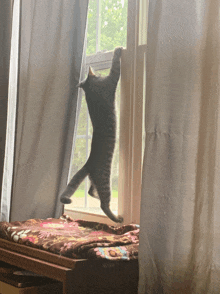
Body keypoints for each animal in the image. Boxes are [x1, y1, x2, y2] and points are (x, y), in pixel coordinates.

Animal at [60, 46, 124, 223]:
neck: (91, 90)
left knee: (90, 191)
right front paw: (118, 50)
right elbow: (115, 66)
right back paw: (116, 218)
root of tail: (89, 163)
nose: (99, 75)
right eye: (99, 75)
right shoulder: (111, 80)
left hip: (94, 180)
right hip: (105, 180)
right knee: (104, 204)